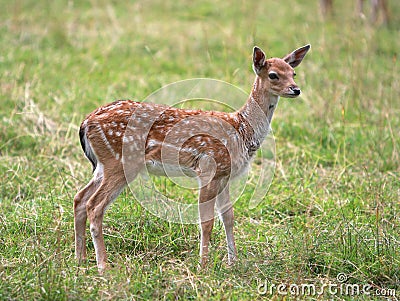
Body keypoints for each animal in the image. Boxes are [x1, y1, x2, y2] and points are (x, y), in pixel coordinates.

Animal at [73, 44, 310, 272]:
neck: (241, 130)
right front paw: (203, 266)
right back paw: (103, 266)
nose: (296, 89)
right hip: (121, 162)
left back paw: (80, 260)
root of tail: (86, 123)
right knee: (95, 205)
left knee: (79, 198)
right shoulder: (208, 169)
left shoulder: (224, 175)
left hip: (103, 165)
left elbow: (229, 217)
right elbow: (207, 221)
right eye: (273, 75)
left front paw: (233, 263)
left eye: (293, 73)